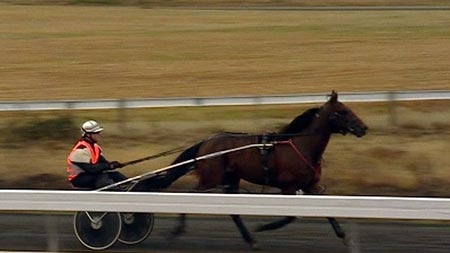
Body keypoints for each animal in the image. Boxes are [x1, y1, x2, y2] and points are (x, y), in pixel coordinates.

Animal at [142, 90, 368, 248]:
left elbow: (328, 212)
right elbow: (290, 217)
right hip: (210, 178)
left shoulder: (310, 185)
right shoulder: (288, 187)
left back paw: (250, 240)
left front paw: (344, 237)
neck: (301, 146)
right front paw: (263, 226)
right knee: (191, 196)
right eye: (343, 111)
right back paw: (177, 231)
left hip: (230, 179)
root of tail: (206, 142)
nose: (363, 128)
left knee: (233, 212)